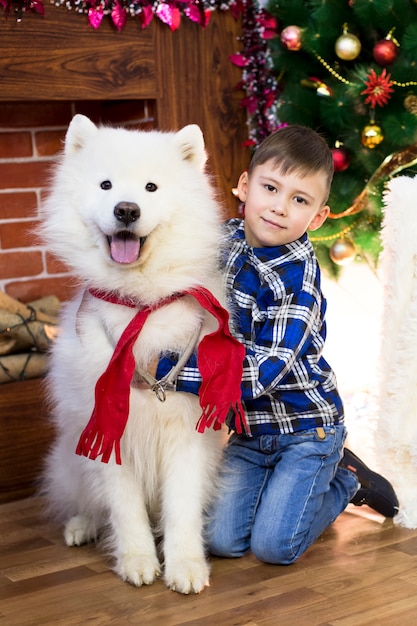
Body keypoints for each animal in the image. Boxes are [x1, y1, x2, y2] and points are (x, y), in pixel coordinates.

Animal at [39, 116, 244, 588]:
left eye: (151, 187)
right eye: (106, 184)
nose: (126, 210)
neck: (141, 305)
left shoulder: (188, 434)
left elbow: (182, 511)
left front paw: (186, 566)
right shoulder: (107, 431)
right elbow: (124, 509)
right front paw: (138, 561)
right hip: (69, 458)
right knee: (85, 501)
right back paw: (81, 526)